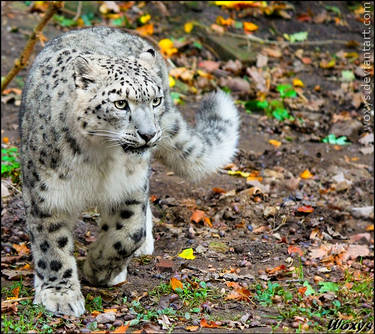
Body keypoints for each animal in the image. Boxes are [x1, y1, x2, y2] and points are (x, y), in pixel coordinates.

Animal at [19, 26, 239, 316]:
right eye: (121, 103)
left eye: (155, 100)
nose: (148, 134)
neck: (98, 160)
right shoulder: (46, 195)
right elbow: (51, 246)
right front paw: (60, 295)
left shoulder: (130, 188)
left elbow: (128, 233)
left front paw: (99, 268)